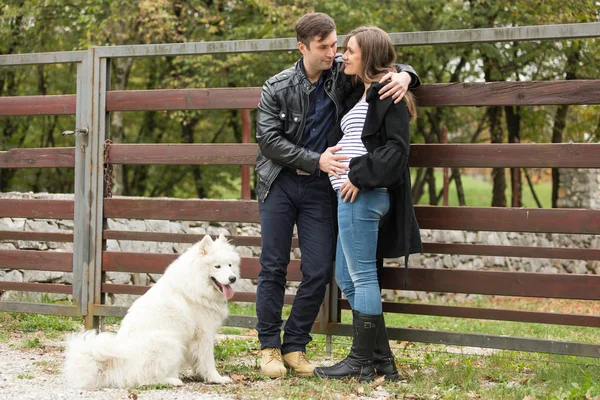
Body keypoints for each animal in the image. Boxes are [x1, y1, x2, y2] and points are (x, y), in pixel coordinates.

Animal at [65, 234, 241, 388]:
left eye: (230, 265)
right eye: (217, 266)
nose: (233, 279)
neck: (195, 282)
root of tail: (117, 366)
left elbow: (199, 360)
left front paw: (201, 375)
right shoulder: (204, 333)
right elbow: (208, 359)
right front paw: (216, 378)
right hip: (170, 343)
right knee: (146, 379)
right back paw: (172, 381)